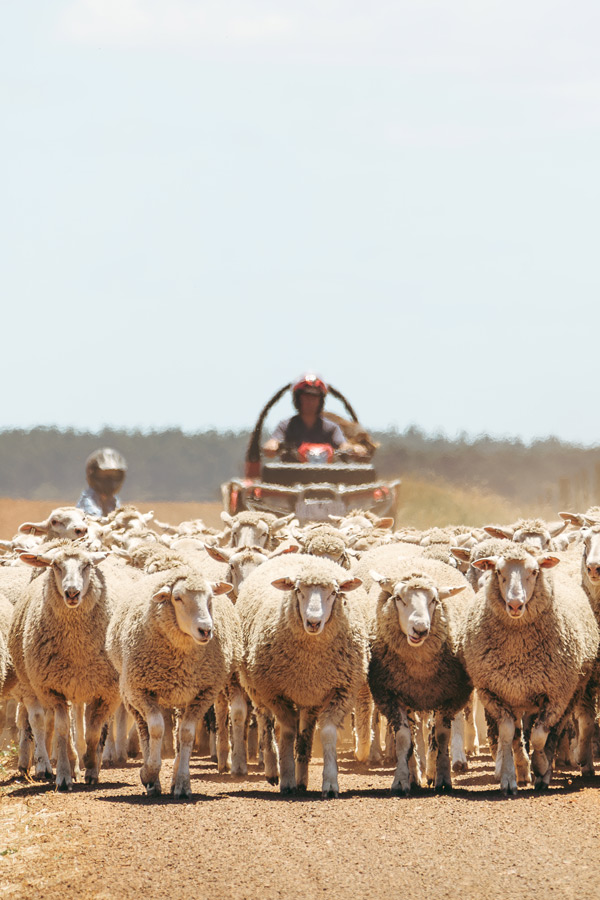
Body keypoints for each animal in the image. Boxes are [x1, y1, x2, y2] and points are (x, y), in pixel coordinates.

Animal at [7, 544, 119, 789]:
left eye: (87, 565)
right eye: (56, 566)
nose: (72, 593)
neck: (77, 649)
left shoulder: (106, 690)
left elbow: (93, 732)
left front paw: (91, 767)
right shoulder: (52, 689)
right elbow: (61, 730)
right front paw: (65, 775)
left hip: (78, 686)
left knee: (76, 722)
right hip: (34, 685)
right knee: (42, 723)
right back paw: (51, 765)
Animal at [105, 566, 239, 798]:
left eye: (210, 598)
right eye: (177, 598)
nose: (206, 630)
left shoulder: (204, 693)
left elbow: (186, 735)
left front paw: (183, 783)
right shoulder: (141, 690)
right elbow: (156, 729)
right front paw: (148, 773)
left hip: (183, 695)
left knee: (177, 733)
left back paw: (175, 778)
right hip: (131, 694)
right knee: (144, 729)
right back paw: (153, 783)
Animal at [236, 554, 369, 797]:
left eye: (334, 592)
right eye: (298, 590)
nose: (313, 622)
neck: (310, 663)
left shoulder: (342, 691)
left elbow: (326, 733)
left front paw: (330, 783)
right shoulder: (275, 692)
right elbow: (287, 731)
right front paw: (287, 778)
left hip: (310, 699)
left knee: (305, 735)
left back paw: (302, 778)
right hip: (255, 687)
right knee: (265, 722)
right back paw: (272, 769)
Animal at [366, 556, 473, 794]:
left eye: (434, 600)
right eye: (398, 598)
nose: (420, 629)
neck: (419, 670)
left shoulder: (450, 695)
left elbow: (441, 736)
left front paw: (443, 778)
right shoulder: (391, 695)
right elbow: (404, 739)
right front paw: (401, 780)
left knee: (430, 732)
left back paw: (429, 771)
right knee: (414, 735)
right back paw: (415, 774)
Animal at [460, 542, 599, 794]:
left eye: (534, 572)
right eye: (498, 572)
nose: (515, 604)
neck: (518, 651)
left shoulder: (557, 695)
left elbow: (539, 735)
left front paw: (541, 766)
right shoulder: (493, 692)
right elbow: (508, 734)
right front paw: (508, 778)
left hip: (574, 690)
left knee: (557, 730)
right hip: (516, 694)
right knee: (517, 735)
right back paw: (522, 770)